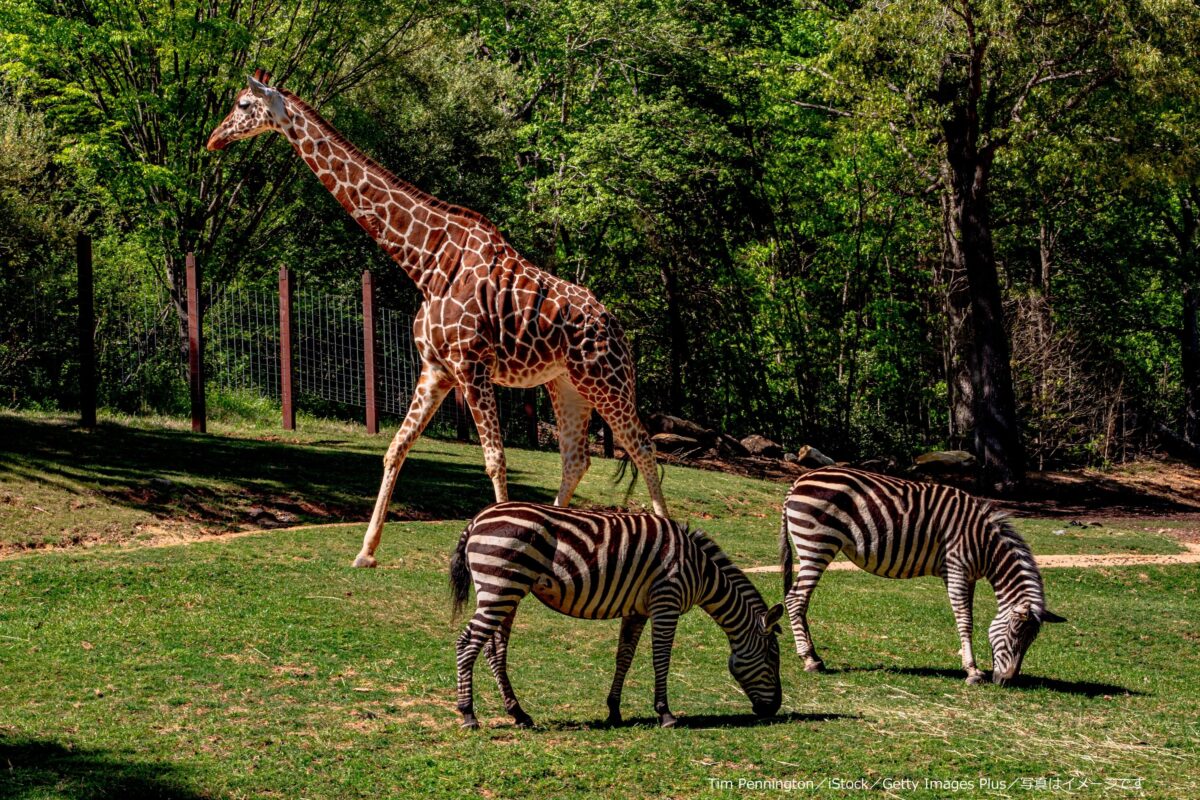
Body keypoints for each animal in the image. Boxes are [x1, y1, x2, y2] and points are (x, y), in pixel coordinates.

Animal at [210, 71, 672, 566]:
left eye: (242, 104)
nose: (214, 138)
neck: (426, 261)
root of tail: (617, 327)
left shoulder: (472, 365)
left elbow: (494, 459)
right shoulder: (436, 369)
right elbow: (395, 448)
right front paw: (365, 552)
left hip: (606, 380)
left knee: (642, 446)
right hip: (566, 385)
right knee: (576, 458)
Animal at [451, 503, 787, 729]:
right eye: (773, 657)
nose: (774, 709)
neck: (701, 570)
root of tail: (476, 520)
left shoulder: (636, 611)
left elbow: (624, 657)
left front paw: (614, 710)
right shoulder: (666, 601)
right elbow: (661, 658)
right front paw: (665, 713)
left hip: (507, 592)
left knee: (494, 650)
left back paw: (519, 714)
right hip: (500, 587)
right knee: (466, 644)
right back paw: (468, 714)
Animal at [777, 465, 1070, 686]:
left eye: (1031, 641)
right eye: (1014, 634)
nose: (1006, 681)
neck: (985, 545)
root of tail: (798, 481)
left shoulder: (969, 577)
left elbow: (968, 616)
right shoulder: (956, 568)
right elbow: (965, 620)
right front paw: (972, 671)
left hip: (812, 547)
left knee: (799, 600)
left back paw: (814, 656)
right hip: (817, 544)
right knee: (795, 599)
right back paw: (809, 659)